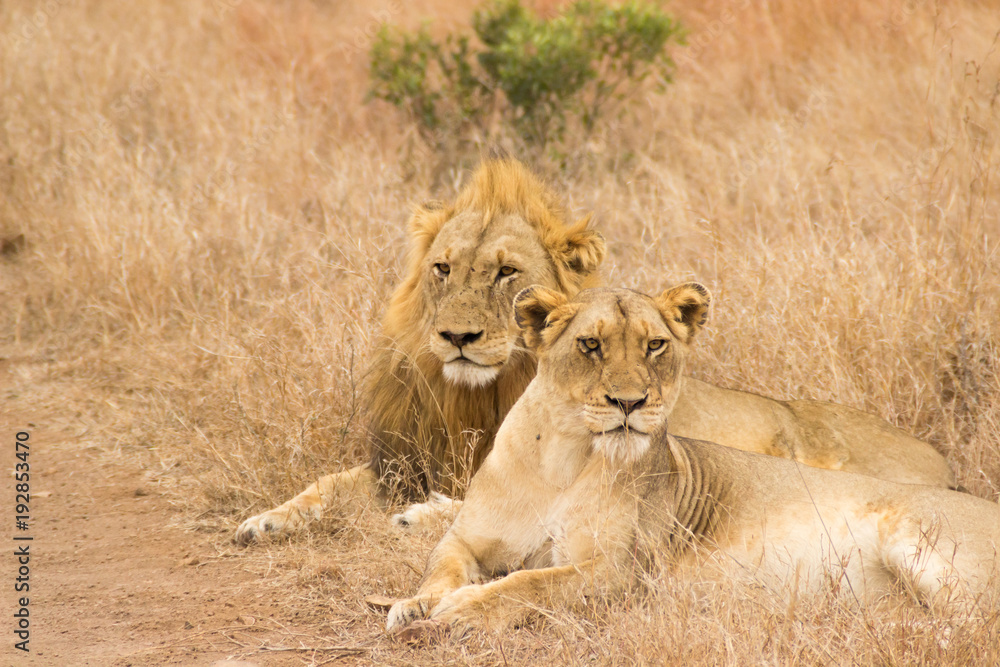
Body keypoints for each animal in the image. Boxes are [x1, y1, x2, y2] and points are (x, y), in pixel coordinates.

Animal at [235, 155, 955, 545]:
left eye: (505, 273)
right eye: (443, 268)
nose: (457, 338)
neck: (476, 397)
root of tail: (946, 464)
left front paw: (426, 514)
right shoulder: (406, 459)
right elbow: (328, 483)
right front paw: (266, 520)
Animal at [386, 285, 999, 635]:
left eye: (655, 345)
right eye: (591, 345)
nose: (630, 403)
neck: (563, 456)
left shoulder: (622, 571)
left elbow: (530, 585)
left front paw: (461, 611)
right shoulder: (468, 539)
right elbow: (438, 567)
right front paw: (413, 605)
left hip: (920, 543)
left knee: (973, 628)